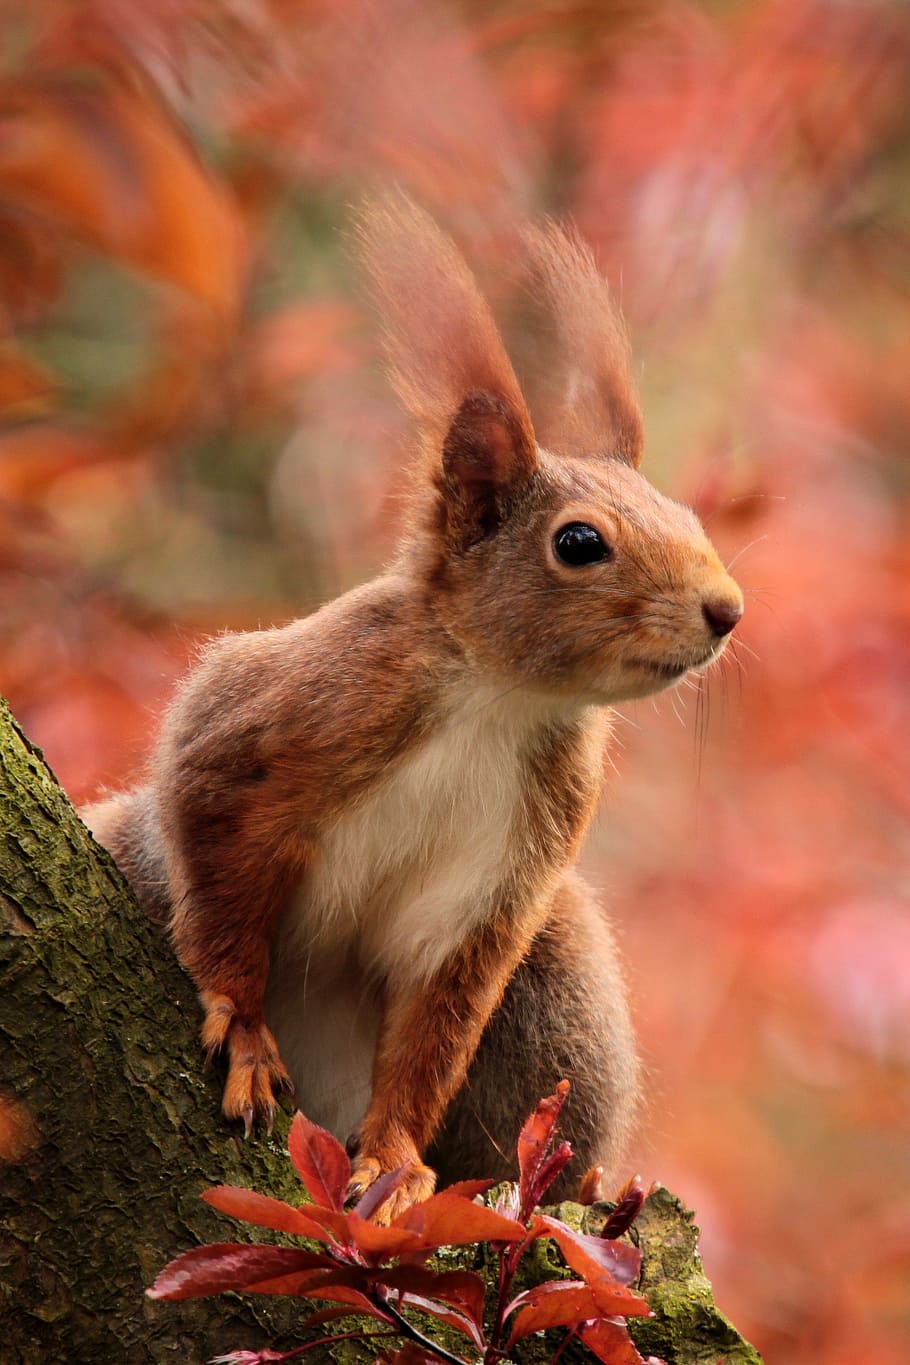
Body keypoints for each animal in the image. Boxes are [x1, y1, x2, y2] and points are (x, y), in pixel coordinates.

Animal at [85, 196, 743, 1222]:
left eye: (690, 516)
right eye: (579, 542)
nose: (727, 609)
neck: (500, 701)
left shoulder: (499, 885)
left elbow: (436, 1026)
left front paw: (394, 1164)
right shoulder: (270, 722)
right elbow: (217, 866)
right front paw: (243, 1028)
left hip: (563, 978)